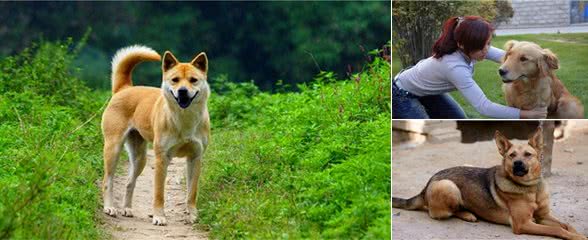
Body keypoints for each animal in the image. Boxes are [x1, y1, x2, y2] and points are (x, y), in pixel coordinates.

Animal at [101, 45, 211, 225]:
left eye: (193, 80)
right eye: (175, 80)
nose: (182, 91)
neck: (184, 119)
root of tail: (125, 88)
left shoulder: (195, 158)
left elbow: (192, 192)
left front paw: (192, 215)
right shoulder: (162, 158)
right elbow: (159, 193)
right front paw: (159, 216)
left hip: (140, 158)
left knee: (129, 183)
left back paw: (127, 209)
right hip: (113, 148)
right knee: (107, 181)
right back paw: (109, 207)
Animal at [392, 129, 584, 240]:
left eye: (528, 155)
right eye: (512, 155)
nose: (518, 164)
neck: (530, 188)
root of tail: (426, 185)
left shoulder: (543, 216)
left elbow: (566, 225)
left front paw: (578, 233)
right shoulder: (522, 224)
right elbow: (558, 231)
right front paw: (575, 237)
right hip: (448, 186)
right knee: (437, 212)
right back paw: (468, 214)